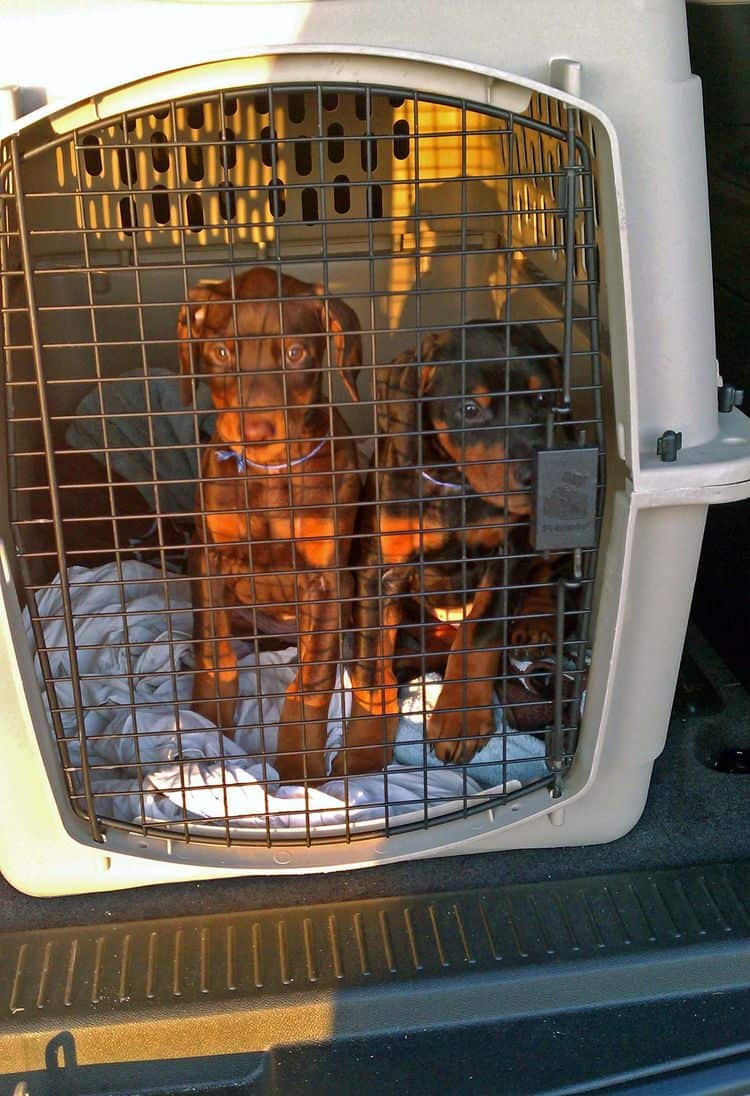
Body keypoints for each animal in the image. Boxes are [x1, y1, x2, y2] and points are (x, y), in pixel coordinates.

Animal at [177, 264, 361, 780]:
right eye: (221, 353)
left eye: (295, 353)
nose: (254, 432)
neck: (270, 472)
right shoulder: (208, 559)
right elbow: (214, 654)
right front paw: (207, 726)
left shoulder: (327, 581)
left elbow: (312, 682)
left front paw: (300, 766)